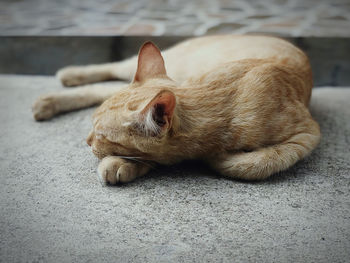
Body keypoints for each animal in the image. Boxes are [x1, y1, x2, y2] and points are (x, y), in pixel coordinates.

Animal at [32, 35, 320, 186]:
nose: (87, 140)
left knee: (103, 86)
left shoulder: (307, 134)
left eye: (101, 136)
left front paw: (122, 163)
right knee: (112, 70)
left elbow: (257, 164)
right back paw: (66, 79)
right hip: (172, 64)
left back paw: (53, 97)